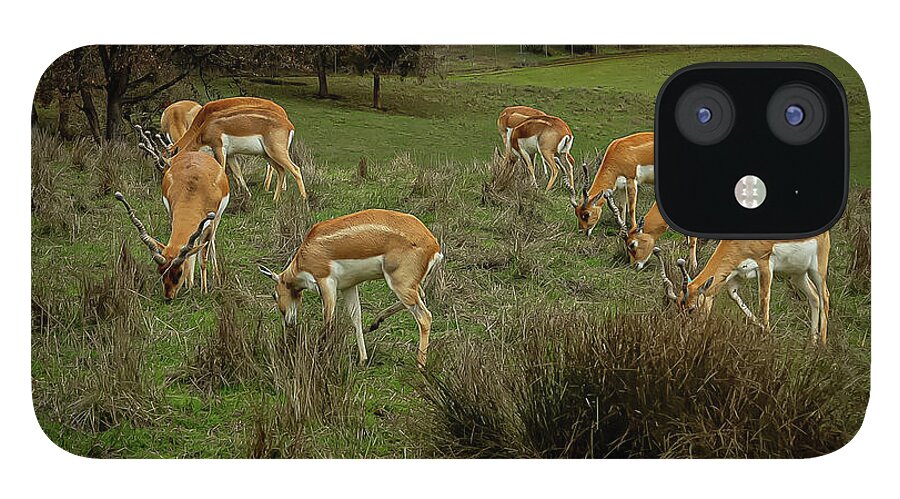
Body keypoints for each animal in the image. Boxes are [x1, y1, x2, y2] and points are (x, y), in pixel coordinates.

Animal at [116, 129, 230, 300]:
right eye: (161, 271)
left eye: (179, 272)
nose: (169, 297)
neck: (194, 190)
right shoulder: (173, 215)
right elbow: (190, 252)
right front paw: (189, 285)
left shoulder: (209, 224)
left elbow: (203, 258)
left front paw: (203, 291)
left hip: (217, 219)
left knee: (210, 243)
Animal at [168, 97, 305, 202]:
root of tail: (289, 125)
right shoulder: (230, 155)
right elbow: (237, 172)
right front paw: (246, 195)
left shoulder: (219, 149)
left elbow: (222, 171)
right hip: (267, 154)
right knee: (281, 170)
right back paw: (275, 199)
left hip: (276, 152)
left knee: (295, 169)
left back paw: (302, 200)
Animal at [258, 209, 443, 368]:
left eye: (274, 295)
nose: (288, 322)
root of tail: (434, 245)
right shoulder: (348, 286)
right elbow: (356, 317)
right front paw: (362, 359)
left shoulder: (326, 282)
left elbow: (328, 320)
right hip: (408, 285)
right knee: (421, 296)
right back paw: (375, 323)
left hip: (399, 284)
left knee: (425, 317)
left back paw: (420, 365)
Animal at [654, 232, 831, 345]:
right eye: (678, 308)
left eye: (691, 309)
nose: (687, 333)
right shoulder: (736, 276)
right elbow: (735, 298)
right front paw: (764, 331)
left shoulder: (765, 267)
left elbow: (763, 301)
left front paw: (765, 336)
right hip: (797, 274)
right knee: (814, 297)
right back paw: (812, 343)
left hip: (817, 269)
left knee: (825, 296)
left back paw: (822, 345)